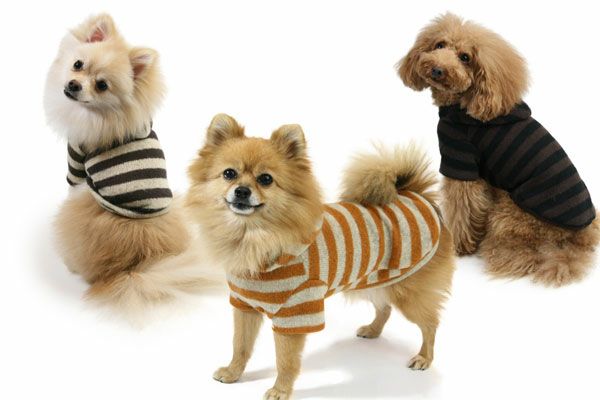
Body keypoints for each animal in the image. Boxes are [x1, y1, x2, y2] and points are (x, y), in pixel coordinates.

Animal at [44, 14, 220, 314]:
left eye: (102, 85)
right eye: (78, 64)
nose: (75, 85)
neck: (100, 115)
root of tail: (134, 266)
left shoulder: (76, 163)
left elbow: (71, 183)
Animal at [186, 114, 456, 399]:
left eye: (266, 179)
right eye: (229, 174)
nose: (241, 191)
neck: (253, 238)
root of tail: (418, 195)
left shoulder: (295, 313)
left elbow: (286, 360)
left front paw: (280, 390)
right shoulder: (244, 305)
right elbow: (241, 345)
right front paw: (233, 372)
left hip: (409, 293)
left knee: (430, 323)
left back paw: (424, 357)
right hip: (377, 280)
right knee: (385, 307)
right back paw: (373, 330)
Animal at [397, 13, 599, 286]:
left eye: (465, 57)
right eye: (439, 45)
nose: (437, 69)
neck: (468, 105)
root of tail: (578, 238)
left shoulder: (460, 163)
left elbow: (462, 210)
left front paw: (457, 247)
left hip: (511, 214)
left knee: (524, 255)